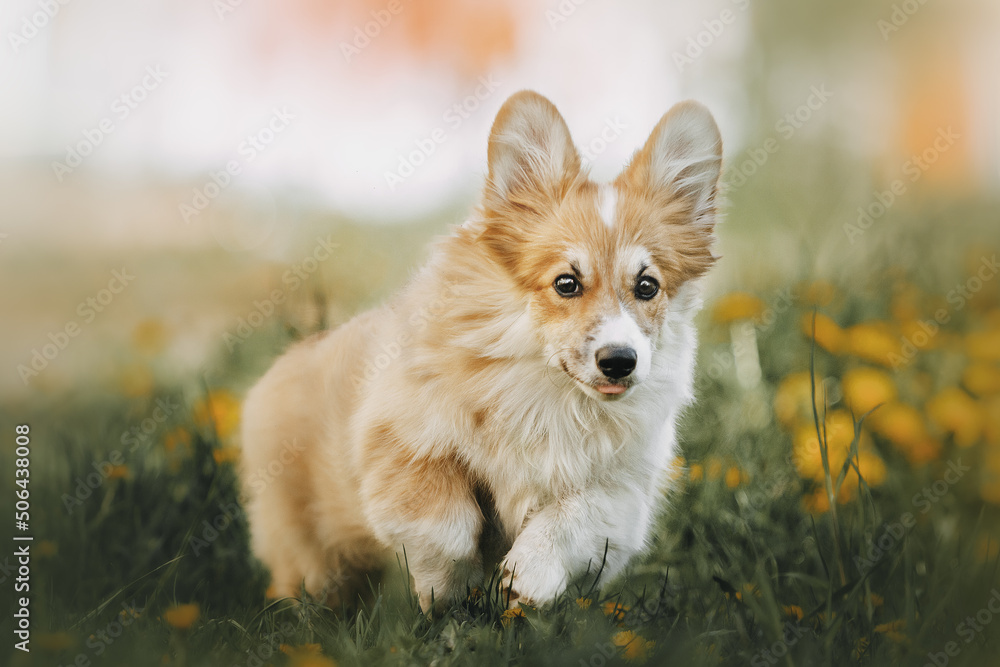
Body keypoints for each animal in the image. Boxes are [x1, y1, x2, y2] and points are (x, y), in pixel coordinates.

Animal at [238, 91, 724, 612]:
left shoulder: (623, 491)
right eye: (566, 283)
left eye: (647, 286)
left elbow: (577, 513)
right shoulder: (403, 446)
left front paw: (531, 573)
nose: (620, 361)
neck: (548, 394)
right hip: (308, 545)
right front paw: (448, 589)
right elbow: (447, 525)